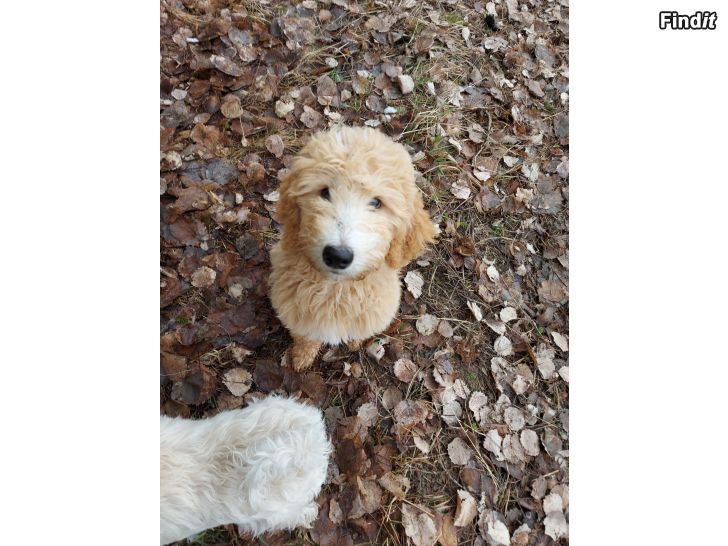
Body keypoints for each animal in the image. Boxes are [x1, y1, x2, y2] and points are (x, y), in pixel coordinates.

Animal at [268, 125, 436, 368]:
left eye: (376, 203)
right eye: (325, 192)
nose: (337, 255)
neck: (337, 289)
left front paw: (355, 343)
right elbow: (306, 337)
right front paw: (302, 356)